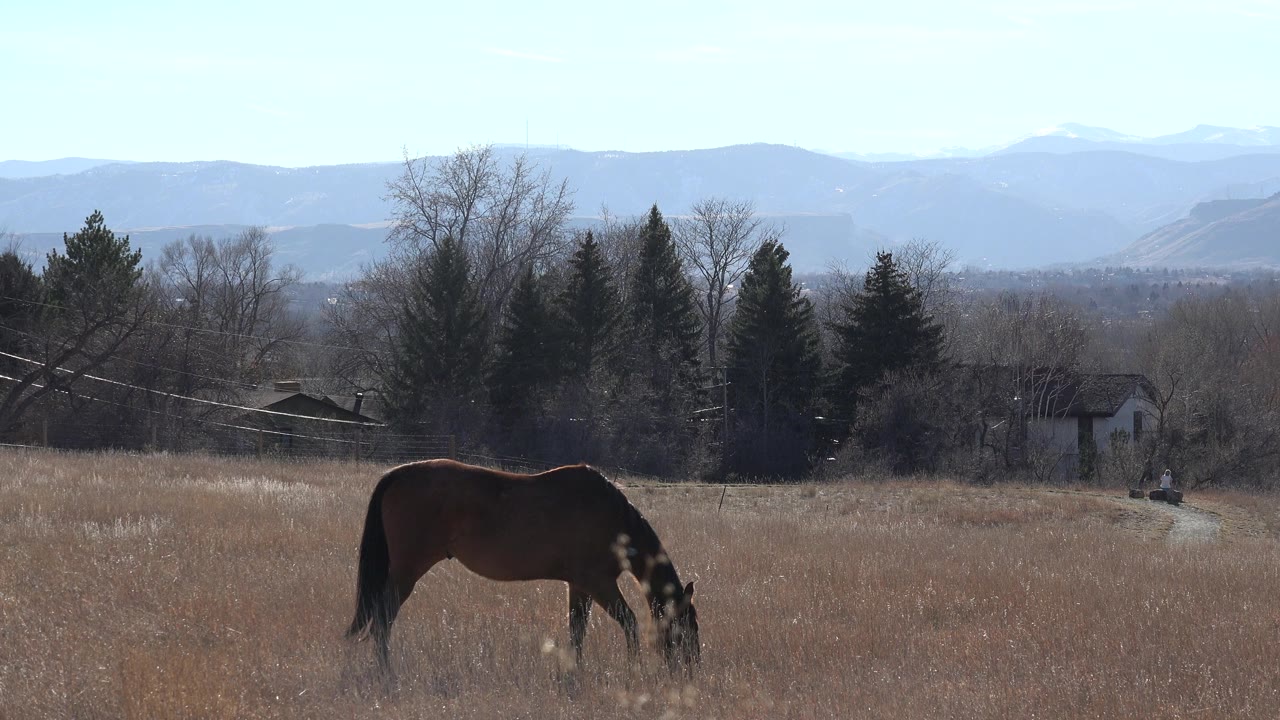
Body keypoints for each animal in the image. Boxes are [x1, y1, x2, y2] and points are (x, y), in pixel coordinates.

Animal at [345, 459, 701, 673]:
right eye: (687, 627)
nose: (691, 669)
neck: (612, 519)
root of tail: (399, 473)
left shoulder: (579, 585)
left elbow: (577, 631)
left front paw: (573, 673)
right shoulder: (598, 582)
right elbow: (628, 622)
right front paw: (633, 669)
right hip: (406, 572)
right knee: (383, 619)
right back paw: (387, 673)